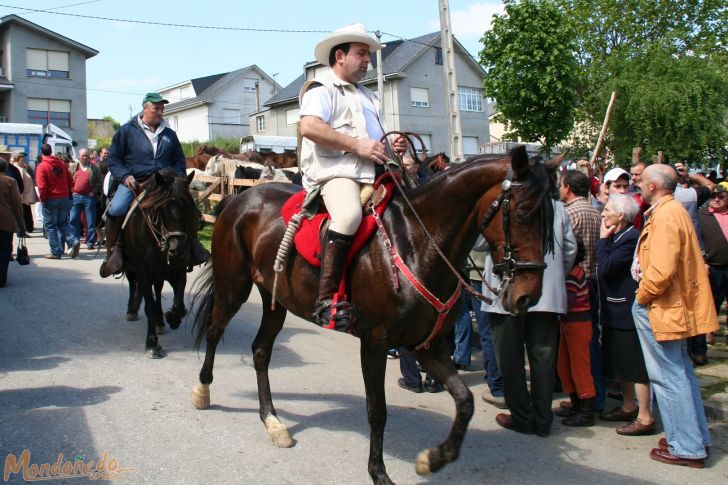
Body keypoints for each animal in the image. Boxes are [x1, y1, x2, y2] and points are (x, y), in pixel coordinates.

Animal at [120, 169, 200, 356]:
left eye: (188, 207)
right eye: (162, 208)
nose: (178, 249)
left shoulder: (178, 269)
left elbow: (179, 303)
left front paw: (172, 318)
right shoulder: (144, 272)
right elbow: (148, 304)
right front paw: (151, 344)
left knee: (157, 289)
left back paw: (159, 321)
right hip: (133, 268)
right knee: (132, 284)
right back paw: (132, 311)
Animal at [191, 146, 560, 482]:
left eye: (551, 221)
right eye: (524, 211)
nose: (528, 296)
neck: (417, 243)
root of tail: (239, 199)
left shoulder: (427, 345)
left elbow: (464, 400)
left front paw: (434, 458)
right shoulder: (375, 343)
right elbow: (377, 411)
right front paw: (379, 473)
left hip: (275, 300)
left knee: (261, 351)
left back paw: (272, 420)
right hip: (233, 288)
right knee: (214, 330)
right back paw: (203, 391)